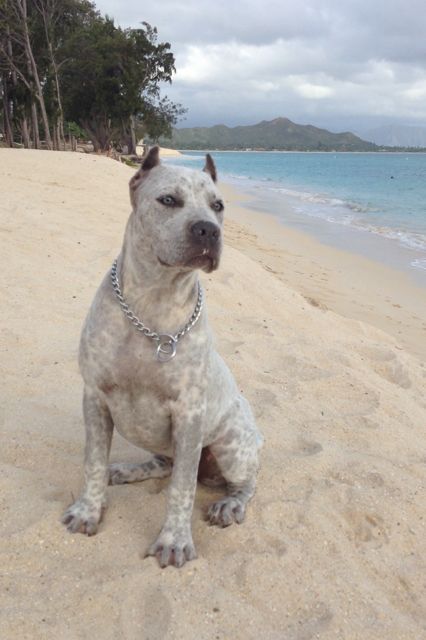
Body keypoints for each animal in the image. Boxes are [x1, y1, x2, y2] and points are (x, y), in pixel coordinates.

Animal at [62, 148, 262, 568]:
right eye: (168, 200)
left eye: (218, 206)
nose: (209, 230)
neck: (154, 302)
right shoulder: (95, 398)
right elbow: (92, 463)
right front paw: (89, 510)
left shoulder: (188, 415)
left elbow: (181, 488)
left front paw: (174, 540)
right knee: (162, 463)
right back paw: (126, 470)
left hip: (231, 446)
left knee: (245, 482)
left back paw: (230, 504)